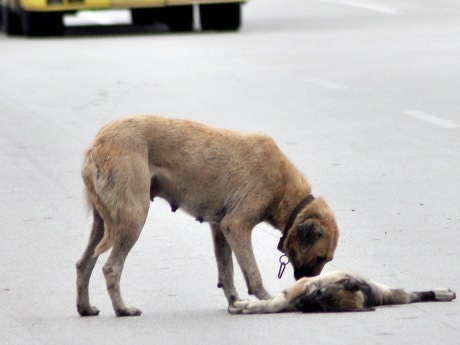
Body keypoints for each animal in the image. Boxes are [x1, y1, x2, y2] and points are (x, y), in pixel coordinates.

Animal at [75, 116, 340, 318]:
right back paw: (123, 310)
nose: (307, 288)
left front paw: (235, 302)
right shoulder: (236, 226)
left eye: (326, 260)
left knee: (84, 264)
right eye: (320, 257)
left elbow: (227, 272)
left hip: (104, 223)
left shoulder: (220, 228)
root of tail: (95, 146)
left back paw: (85, 308)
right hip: (133, 218)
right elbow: (252, 273)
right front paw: (267, 300)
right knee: (111, 267)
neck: (285, 189)